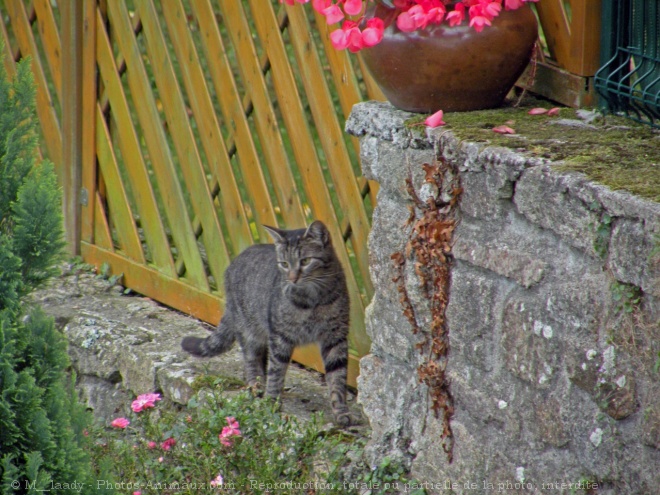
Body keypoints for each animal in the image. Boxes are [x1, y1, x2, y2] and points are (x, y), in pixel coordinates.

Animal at [180, 221, 350, 426]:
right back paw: (256, 384)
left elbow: (337, 377)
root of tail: (234, 262)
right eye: (284, 264)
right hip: (249, 329)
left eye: (305, 261)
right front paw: (271, 402)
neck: (313, 300)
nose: (292, 278)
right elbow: (276, 372)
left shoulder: (336, 337)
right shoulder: (280, 337)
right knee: (251, 358)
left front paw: (341, 411)